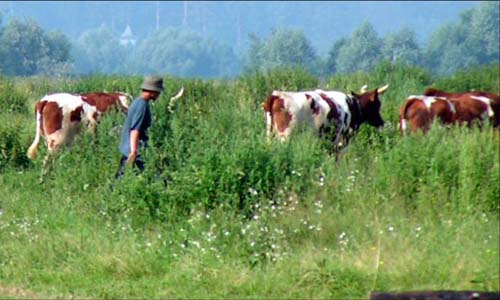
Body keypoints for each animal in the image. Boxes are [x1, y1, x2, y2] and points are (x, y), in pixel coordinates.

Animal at [262, 84, 390, 150]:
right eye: (377, 105)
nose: (382, 123)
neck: (353, 106)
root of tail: (278, 95)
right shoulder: (340, 142)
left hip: (270, 135)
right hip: (285, 137)